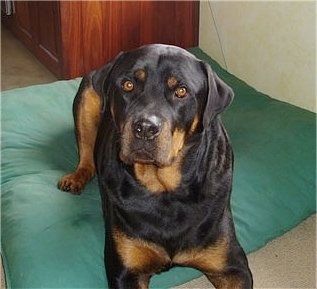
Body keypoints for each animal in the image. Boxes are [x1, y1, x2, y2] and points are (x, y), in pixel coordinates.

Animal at [58, 44, 252, 286]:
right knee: (86, 154)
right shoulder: (125, 270)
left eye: (181, 91)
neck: (165, 191)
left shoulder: (233, 266)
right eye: (128, 85)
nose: (145, 128)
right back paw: (75, 177)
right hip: (87, 96)